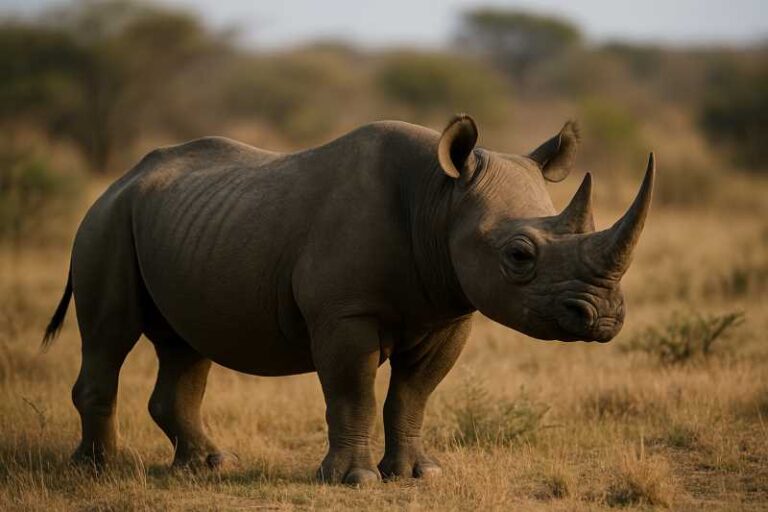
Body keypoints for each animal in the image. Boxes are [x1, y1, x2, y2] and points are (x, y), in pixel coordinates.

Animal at [43, 114, 654, 485]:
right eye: (520, 255)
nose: (603, 317)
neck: (440, 200)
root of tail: (117, 182)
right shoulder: (345, 314)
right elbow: (352, 391)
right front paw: (354, 480)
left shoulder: (449, 311)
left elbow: (412, 395)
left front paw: (416, 474)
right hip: (105, 224)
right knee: (110, 334)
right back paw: (100, 472)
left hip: (180, 225)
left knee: (184, 344)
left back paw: (210, 467)